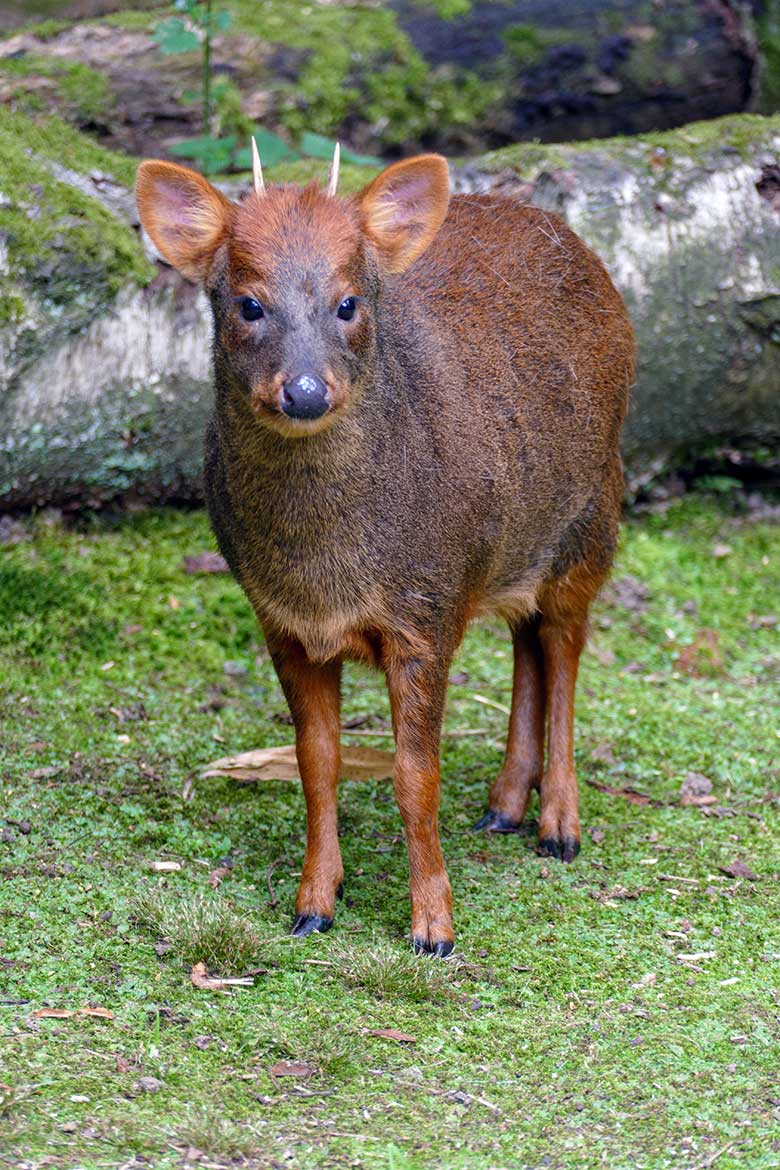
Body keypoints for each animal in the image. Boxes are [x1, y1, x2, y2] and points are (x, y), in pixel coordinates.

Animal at [134, 141, 636, 954]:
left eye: (348, 303)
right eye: (248, 304)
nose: (306, 391)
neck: (329, 570)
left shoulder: (425, 611)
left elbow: (414, 775)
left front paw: (433, 924)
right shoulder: (284, 625)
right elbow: (317, 764)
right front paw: (314, 903)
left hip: (592, 520)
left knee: (564, 645)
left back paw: (559, 823)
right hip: (511, 550)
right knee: (527, 640)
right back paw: (504, 803)